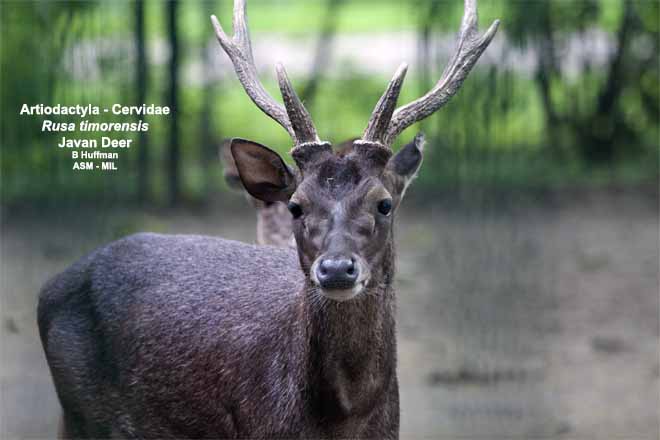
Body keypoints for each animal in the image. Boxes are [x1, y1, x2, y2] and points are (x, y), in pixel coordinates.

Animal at [37, 0, 498, 438]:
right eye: (296, 205)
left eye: (384, 203)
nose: (336, 269)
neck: (342, 419)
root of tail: (51, 286)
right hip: (80, 414)